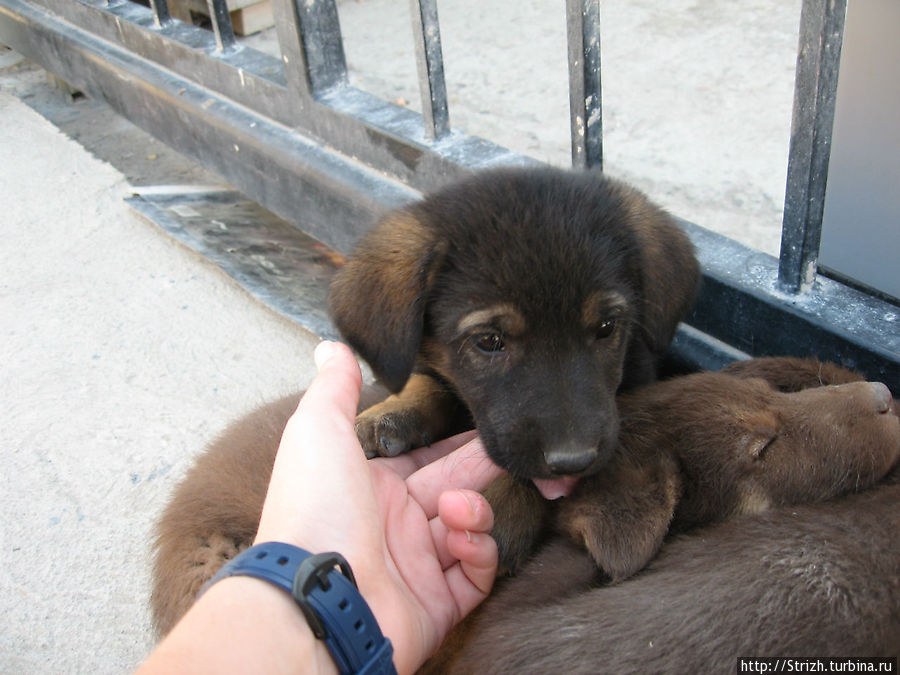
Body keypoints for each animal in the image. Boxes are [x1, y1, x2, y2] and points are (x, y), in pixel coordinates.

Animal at [326, 165, 700, 572]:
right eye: (489, 340)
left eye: (606, 327)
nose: (575, 460)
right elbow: (429, 381)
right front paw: (393, 412)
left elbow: (532, 478)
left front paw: (503, 513)